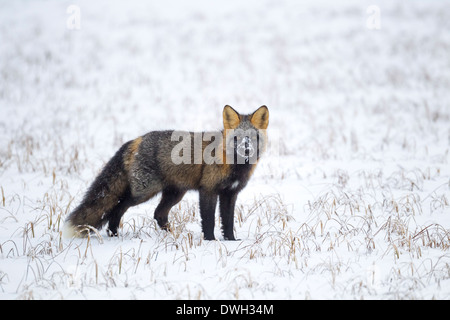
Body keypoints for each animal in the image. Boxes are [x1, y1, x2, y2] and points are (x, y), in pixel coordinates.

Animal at [62, 105, 268, 240]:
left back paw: (173, 235)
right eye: (237, 138)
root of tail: (136, 140)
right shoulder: (208, 190)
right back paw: (113, 233)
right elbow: (209, 220)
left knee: (158, 213)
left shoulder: (230, 194)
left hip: (175, 193)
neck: (234, 166)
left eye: (253, 138)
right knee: (118, 207)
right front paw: (210, 241)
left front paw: (231, 241)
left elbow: (228, 221)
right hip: (144, 193)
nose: (246, 149)